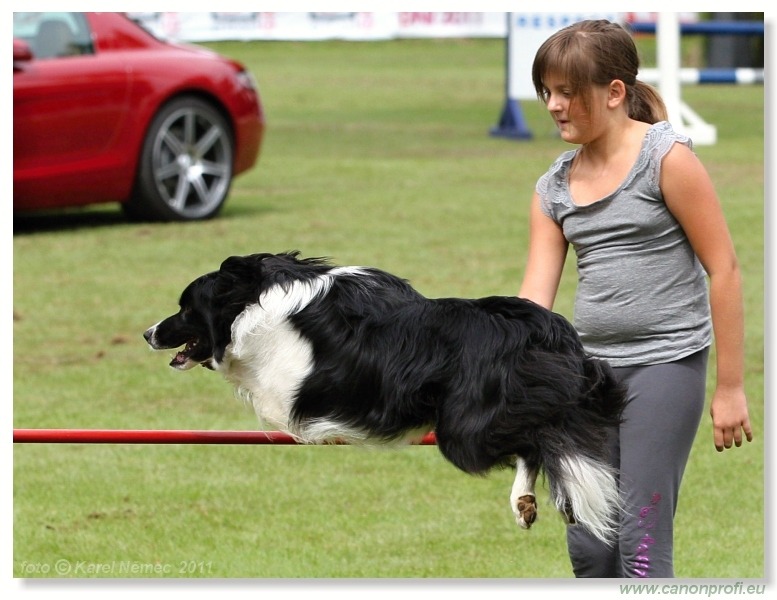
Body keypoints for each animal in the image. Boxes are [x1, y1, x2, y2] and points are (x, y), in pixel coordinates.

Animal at [146, 251, 628, 540]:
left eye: (186, 308)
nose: (148, 333)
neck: (255, 301)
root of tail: (540, 327)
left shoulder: (289, 391)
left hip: (463, 431)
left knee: (535, 441)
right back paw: (525, 503)